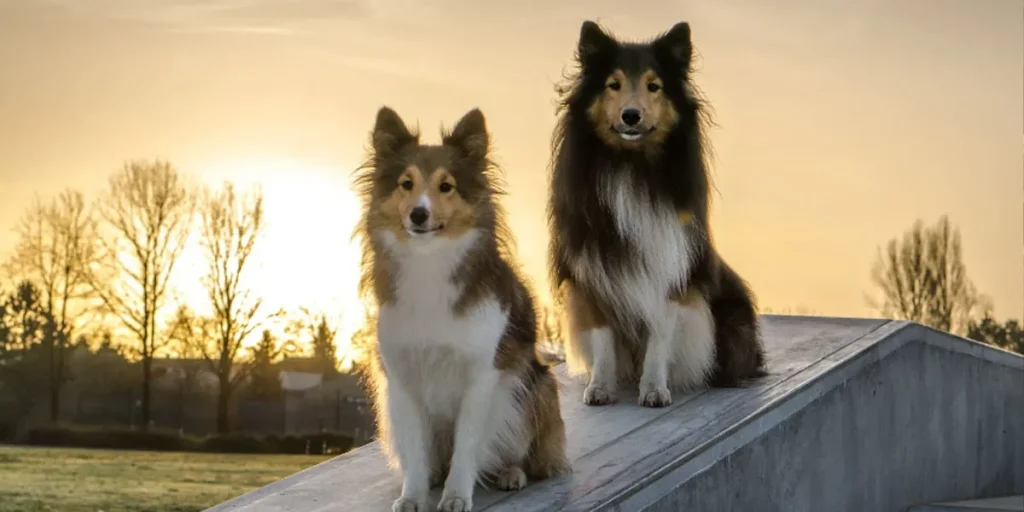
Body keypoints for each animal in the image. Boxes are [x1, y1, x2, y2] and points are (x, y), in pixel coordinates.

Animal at [356, 105, 569, 509]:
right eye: (406, 184)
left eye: (446, 186)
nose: (419, 215)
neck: (429, 263)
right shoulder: (402, 381)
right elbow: (417, 451)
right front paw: (413, 495)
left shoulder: (481, 378)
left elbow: (467, 446)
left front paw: (456, 495)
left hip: (533, 389)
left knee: (523, 453)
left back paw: (511, 472)